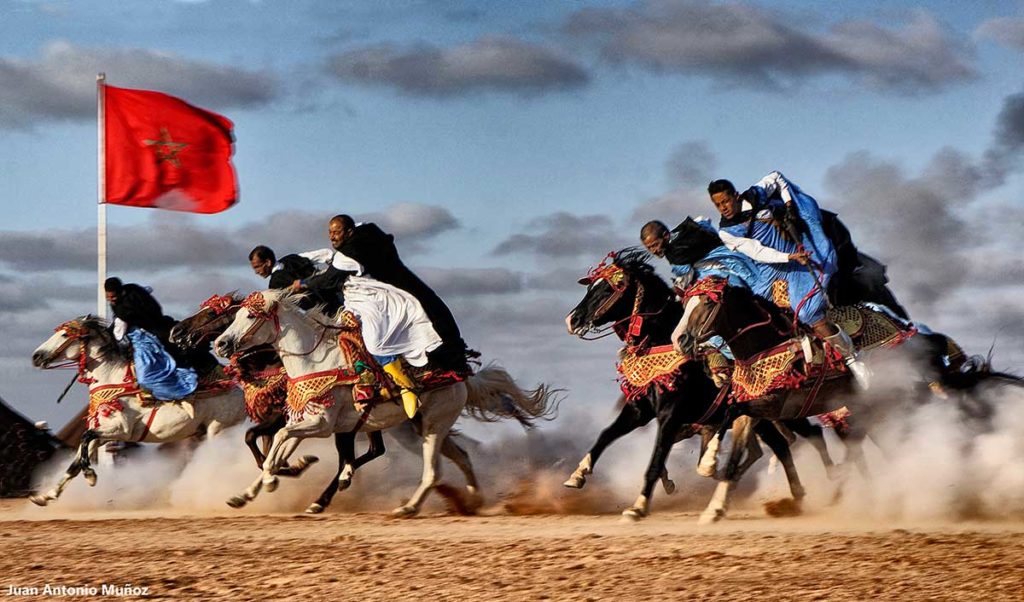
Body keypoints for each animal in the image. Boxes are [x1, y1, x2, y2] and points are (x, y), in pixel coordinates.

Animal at [30, 317, 247, 505]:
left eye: (65, 335)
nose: (36, 357)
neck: (113, 379)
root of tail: (239, 393)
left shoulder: (120, 430)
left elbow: (85, 438)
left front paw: (91, 477)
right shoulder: (103, 435)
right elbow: (76, 461)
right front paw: (46, 496)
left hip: (218, 431)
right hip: (201, 434)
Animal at [210, 290, 557, 518]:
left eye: (250, 315)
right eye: (235, 315)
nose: (221, 344)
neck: (316, 362)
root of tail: (462, 377)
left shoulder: (321, 425)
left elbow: (278, 445)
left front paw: (273, 480)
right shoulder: (302, 421)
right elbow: (276, 450)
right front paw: (246, 494)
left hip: (433, 426)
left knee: (433, 471)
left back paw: (408, 507)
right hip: (416, 428)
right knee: (461, 457)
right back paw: (473, 500)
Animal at [565, 250, 819, 522]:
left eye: (609, 289)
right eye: (591, 287)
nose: (572, 320)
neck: (661, 343)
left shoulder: (670, 416)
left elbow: (655, 460)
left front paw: (639, 506)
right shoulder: (640, 411)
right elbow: (606, 434)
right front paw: (578, 474)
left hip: (784, 411)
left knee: (809, 435)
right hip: (760, 419)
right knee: (779, 446)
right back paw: (788, 495)